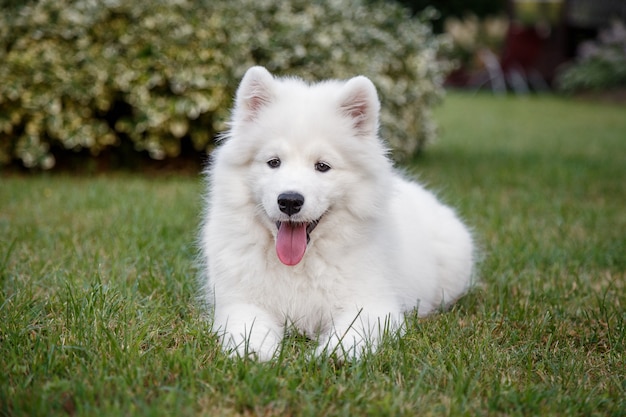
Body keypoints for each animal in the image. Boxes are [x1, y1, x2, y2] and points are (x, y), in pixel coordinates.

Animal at [201, 66, 472, 360]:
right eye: (273, 162)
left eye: (322, 166)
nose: (289, 201)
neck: (300, 264)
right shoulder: (240, 302)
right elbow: (248, 328)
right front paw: (253, 353)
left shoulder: (372, 306)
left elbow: (350, 334)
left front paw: (331, 357)